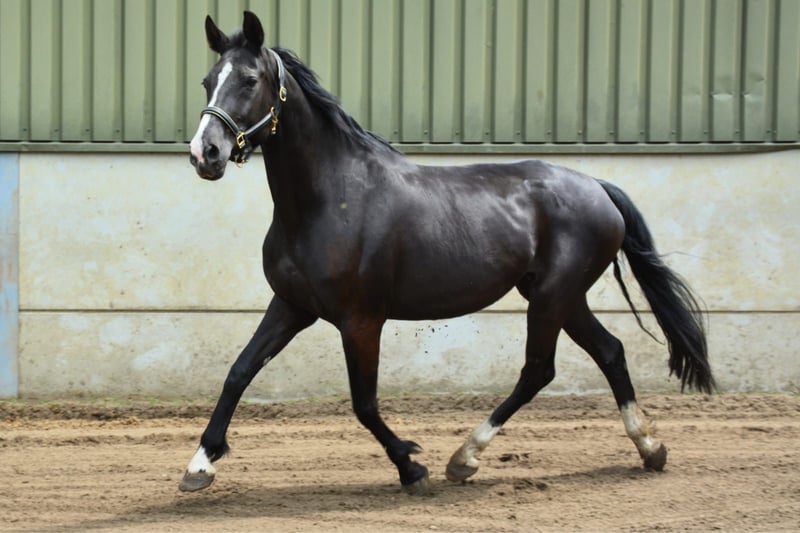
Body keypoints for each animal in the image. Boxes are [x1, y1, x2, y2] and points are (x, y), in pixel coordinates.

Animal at [181, 11, 714, 495]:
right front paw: (200, 465)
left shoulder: (361, 319)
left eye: (250, 80)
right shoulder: (292, 306)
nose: (205, 154)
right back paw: (650, 448)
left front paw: (412, 467)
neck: (329, 199)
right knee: (609, 352)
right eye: (208, 80)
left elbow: (364, 403)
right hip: (562, 297)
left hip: (552, 298)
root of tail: (598, 187)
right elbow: (239, 372)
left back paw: (465, 458)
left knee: (538, 370)